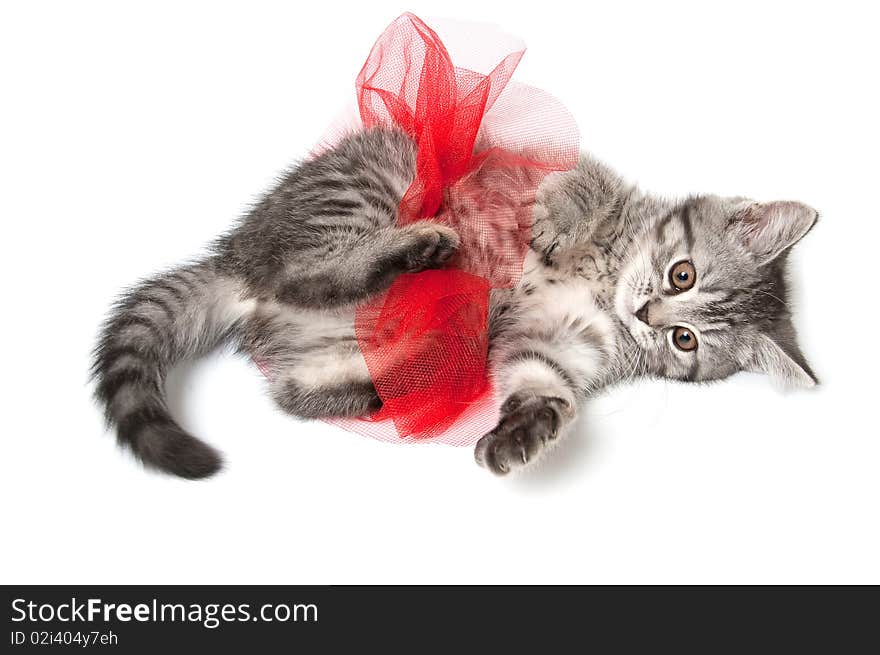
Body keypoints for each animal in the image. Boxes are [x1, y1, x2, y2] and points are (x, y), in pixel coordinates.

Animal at [91, 128, 820, 480]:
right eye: (681, 274)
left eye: (685, 341)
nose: (647, 316)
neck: (607, 281)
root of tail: (239, 259)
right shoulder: (555, 169)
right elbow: (580, 183)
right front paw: (557, 218)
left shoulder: (556, 340)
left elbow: (541, 379)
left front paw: (525, 428)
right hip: (377, 178)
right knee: (304, 271)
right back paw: (421, 245)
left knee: (293, 383)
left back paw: (394, 374)